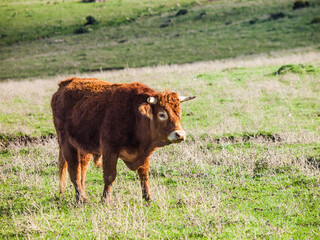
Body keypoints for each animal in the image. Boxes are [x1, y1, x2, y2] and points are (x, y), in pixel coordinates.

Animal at [51, 77, 195, 202]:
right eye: (161, 114)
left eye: (179, 113)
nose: (180, 135)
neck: (135, 116)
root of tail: (65, 84)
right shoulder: (109, 149)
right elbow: (110, 176)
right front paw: (105, 199)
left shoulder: (144, 152)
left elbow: (144, 174)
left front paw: (147, 197)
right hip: (66, 144)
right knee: (74, 170)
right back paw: (81, 198)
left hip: (83, 148)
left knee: (82, 170)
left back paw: (82, 195)